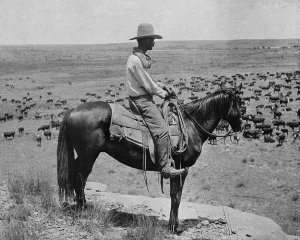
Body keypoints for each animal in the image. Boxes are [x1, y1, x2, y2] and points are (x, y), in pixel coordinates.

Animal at [57, 86, 243, 231]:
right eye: (238, 103)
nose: (240, 126)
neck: (191, 126)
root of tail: (73, 111)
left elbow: (174, 195)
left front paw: (172, 224)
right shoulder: (181, 169)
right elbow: (176, 196)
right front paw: (174, 227)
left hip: (84, 155)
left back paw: (81, 206)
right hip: (88, 156)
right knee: (80, 178)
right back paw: (83, 209)